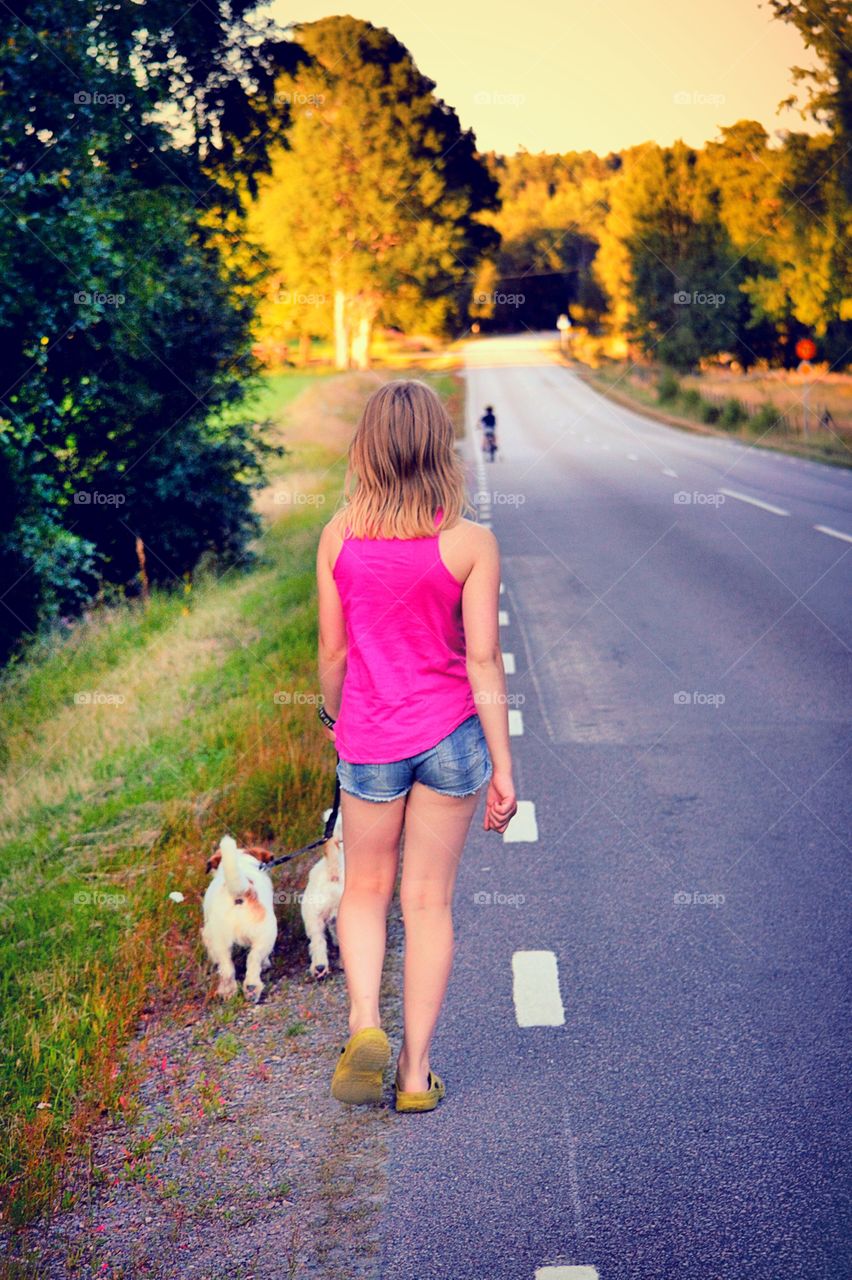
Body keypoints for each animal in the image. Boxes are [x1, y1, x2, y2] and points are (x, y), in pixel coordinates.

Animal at [202, 834, 275, 1003]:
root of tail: (241, 894)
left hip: (220, 941)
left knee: (227, 968)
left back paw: (229, 992)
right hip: (265, 936)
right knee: (254, 960)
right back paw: (252, 989)